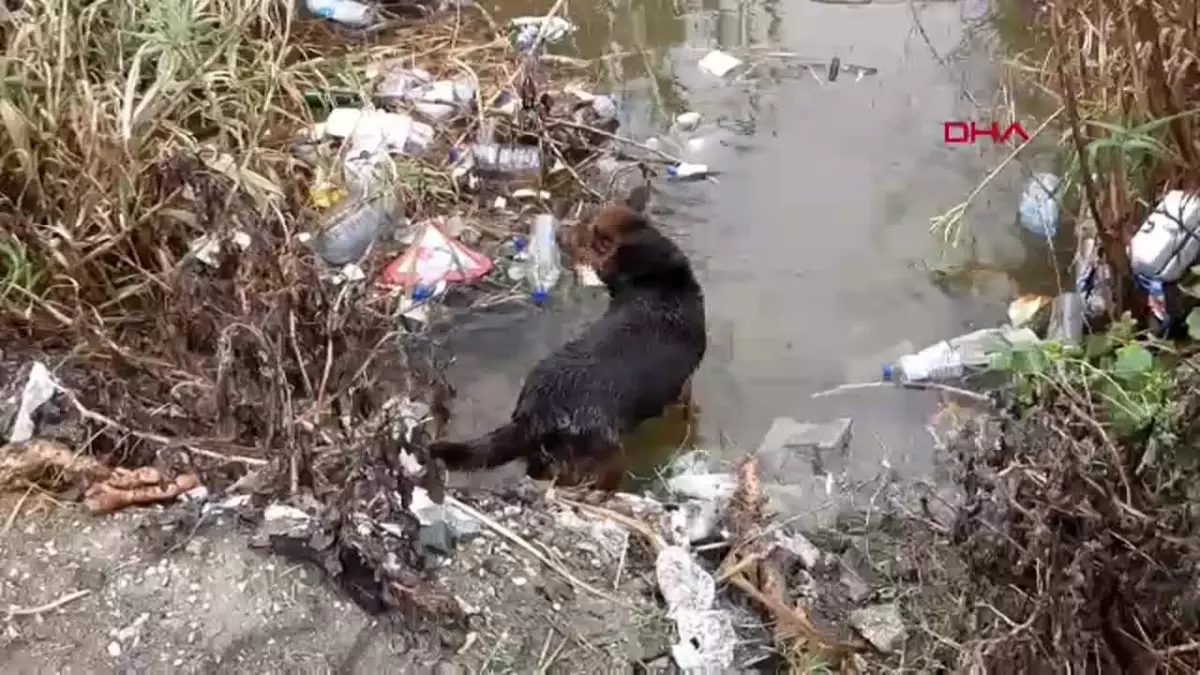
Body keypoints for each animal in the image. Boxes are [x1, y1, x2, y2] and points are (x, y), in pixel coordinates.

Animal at [429, 186, 700, 485]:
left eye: (579, 231)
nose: (559, 234)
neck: (655, 281)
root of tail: (536, 412)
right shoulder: (683, 385)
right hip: (599, 446)